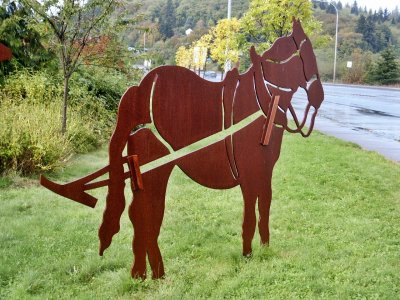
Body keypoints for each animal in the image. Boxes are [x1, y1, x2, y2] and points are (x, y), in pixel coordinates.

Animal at [40, 19, 324, 278]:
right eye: (306, 53)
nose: (319, 96)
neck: (263, 101)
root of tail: (141, 90)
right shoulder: (249, 172)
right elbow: (250, 214)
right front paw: (248, 254)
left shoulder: (264, 171)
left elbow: (264, 207)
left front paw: (264, 249)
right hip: (156, 168)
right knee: (145, 214)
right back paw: (152, 272)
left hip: (144, 172)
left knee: (143, 213)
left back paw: (146, 272)